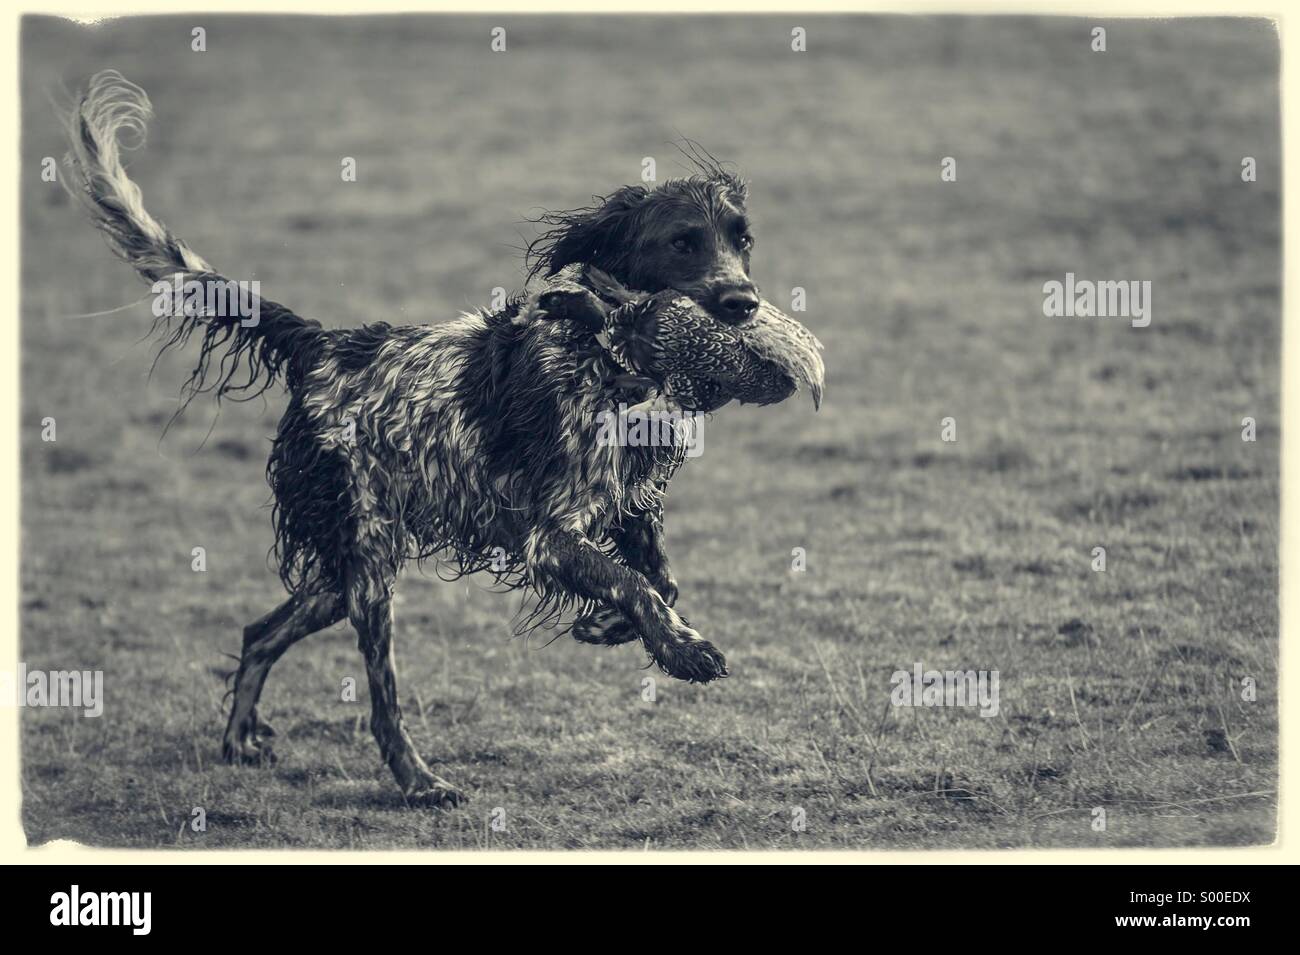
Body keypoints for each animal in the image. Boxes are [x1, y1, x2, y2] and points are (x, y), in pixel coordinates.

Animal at [63, 70, 821, 810]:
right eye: (682, 240)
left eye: (741, 240)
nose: (743, 303)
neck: (606, 355)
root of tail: (322, 345)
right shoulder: (550, 536)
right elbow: (634, 583)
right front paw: (681, 648)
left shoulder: (629, 504)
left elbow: (658, 578)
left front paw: (612, 627)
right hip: (368, 563)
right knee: (381, 700)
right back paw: (419, 781)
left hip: (342, 568)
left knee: (260, 633)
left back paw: (239, 737)